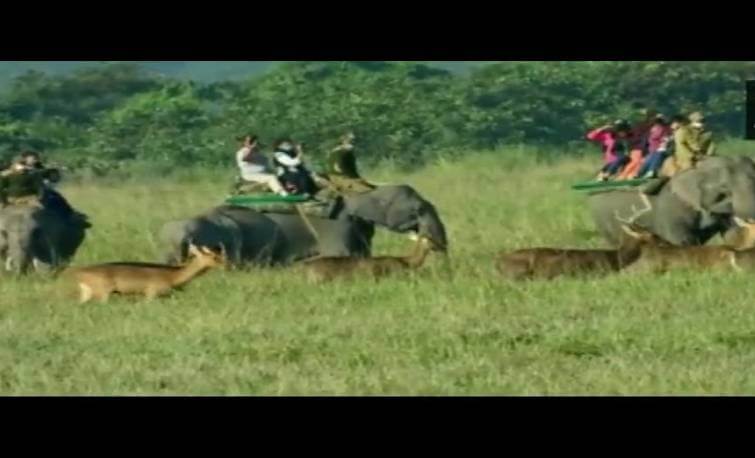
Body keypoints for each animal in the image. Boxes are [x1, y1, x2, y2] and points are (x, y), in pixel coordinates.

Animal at [65, 243, 226, 304]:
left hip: (86, 294)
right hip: (103, 294)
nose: (226, 265)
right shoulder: (151, 295)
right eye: (214, 256)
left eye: (219, 254)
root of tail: (78, 272)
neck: (173, 275)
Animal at [592, 155, 755, 249]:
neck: (696, 169)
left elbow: (732, 236)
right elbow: (683, 242)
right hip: (605, 223)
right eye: (724, 189)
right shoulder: (671, 214)